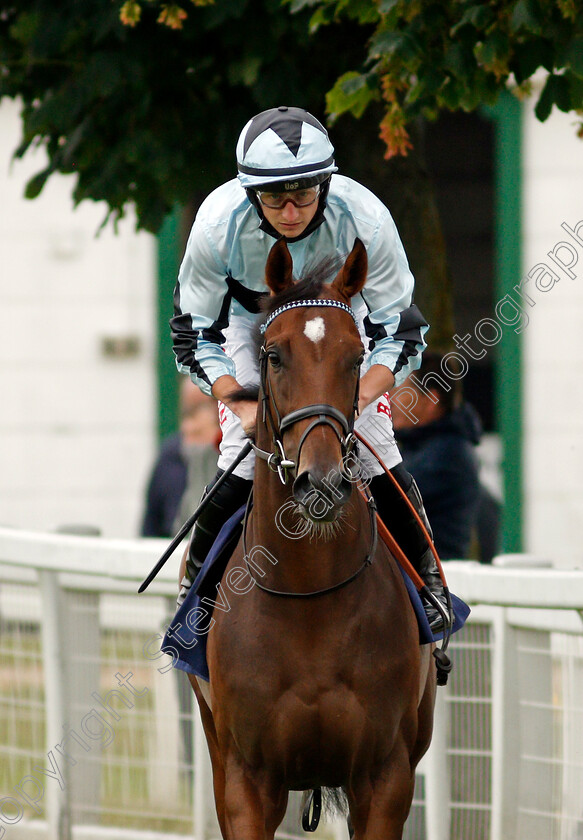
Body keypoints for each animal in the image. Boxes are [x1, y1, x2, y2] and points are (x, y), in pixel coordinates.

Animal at [189, 236, 436, 840]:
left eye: (355, 357)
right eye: (275, 355)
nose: (320, 481)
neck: (310, 601)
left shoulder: (385, 774)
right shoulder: (247, 777)